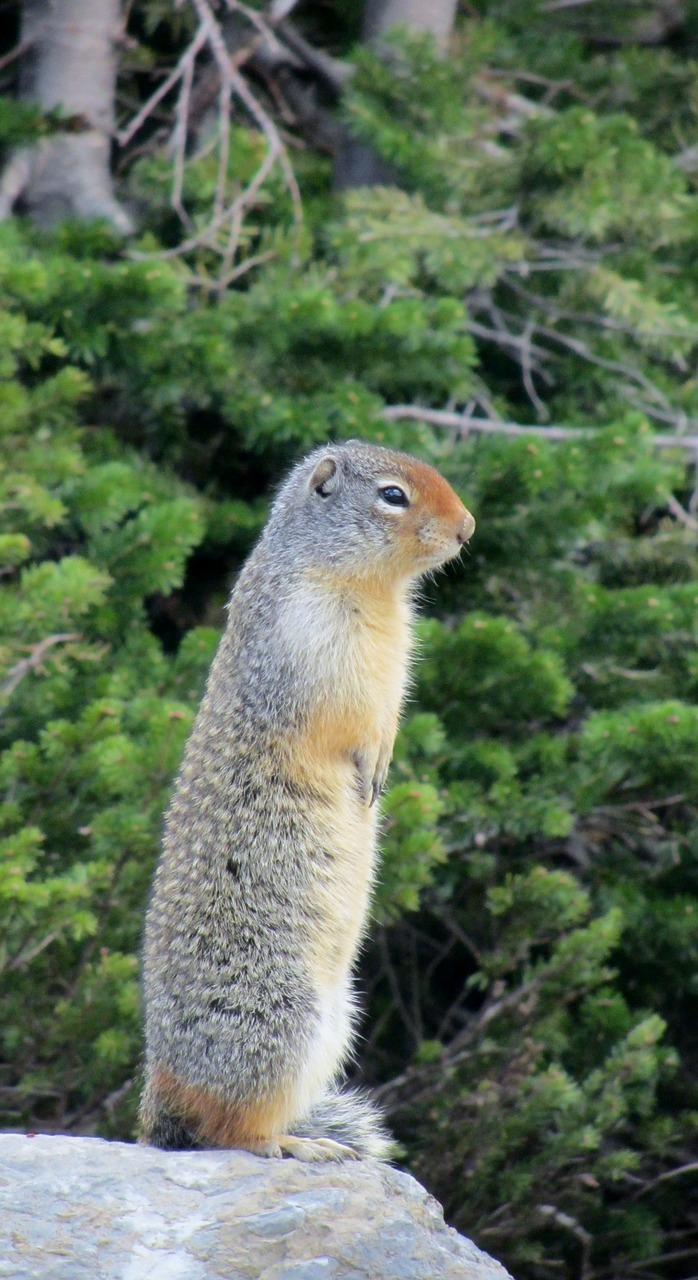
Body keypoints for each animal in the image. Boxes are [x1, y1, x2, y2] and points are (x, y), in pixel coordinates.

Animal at [138, 445, 476, 1167]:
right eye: (393, 495)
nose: (467, 528)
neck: (375, 592)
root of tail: (160, 1098)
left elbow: (389, 717)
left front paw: (383, 768)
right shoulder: (316, 646)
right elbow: (347, 720)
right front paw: (367, 770)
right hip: (282, 1021)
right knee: (228, 1132)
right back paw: (300, 1145)